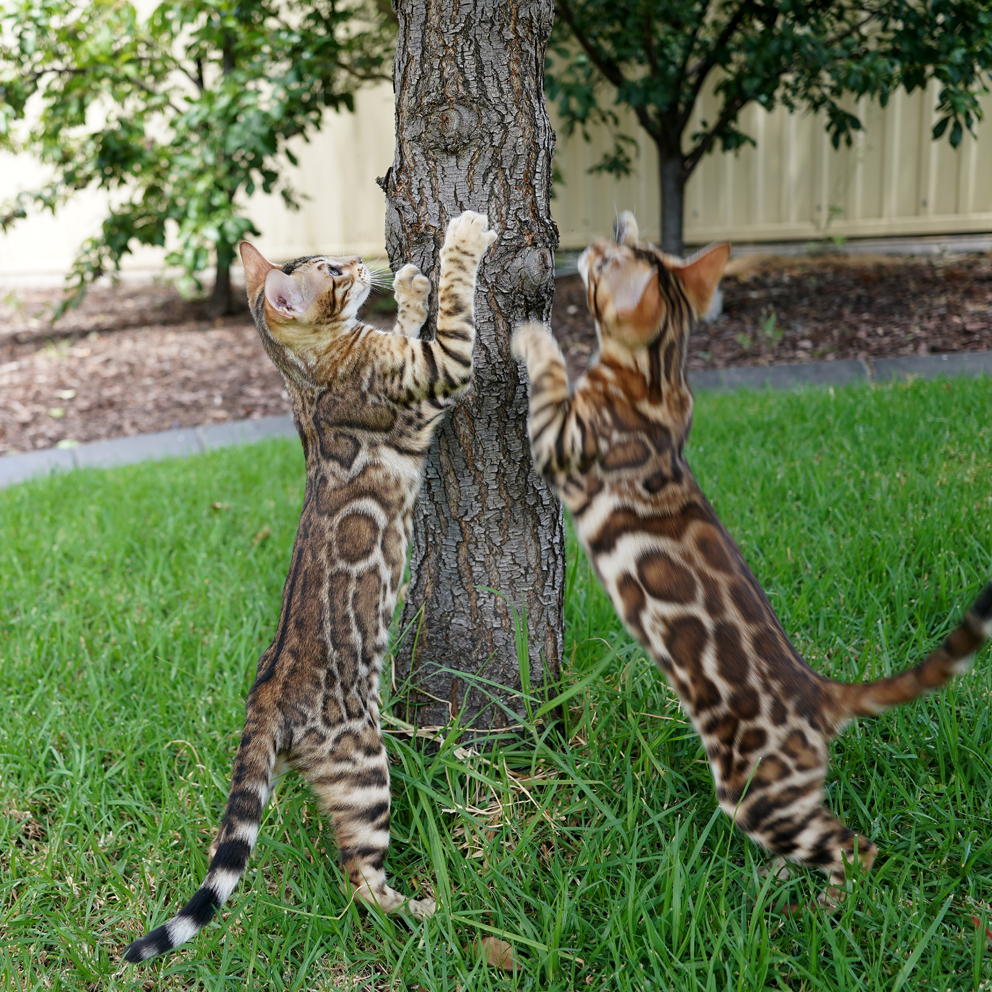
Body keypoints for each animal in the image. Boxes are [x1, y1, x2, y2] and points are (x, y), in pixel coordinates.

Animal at [124, 207, 496, 960]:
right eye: (328, 272)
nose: (356, 261)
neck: (308, 377)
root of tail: (264, 695)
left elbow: (416, 318)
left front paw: (409, 286)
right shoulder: (440, 370)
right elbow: (453, 311)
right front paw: (462, 242)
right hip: (362, 770)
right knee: (358, 875)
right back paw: (425, 910)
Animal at [512, 213, 992, 912]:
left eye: (604, 265)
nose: (603, 237)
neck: (659, 374)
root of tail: (820, 692)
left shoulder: (563, 444)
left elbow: (551, 376)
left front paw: (531, 334)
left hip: (757, 795)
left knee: (859, 851)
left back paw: (825, 908)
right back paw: (777, 882)